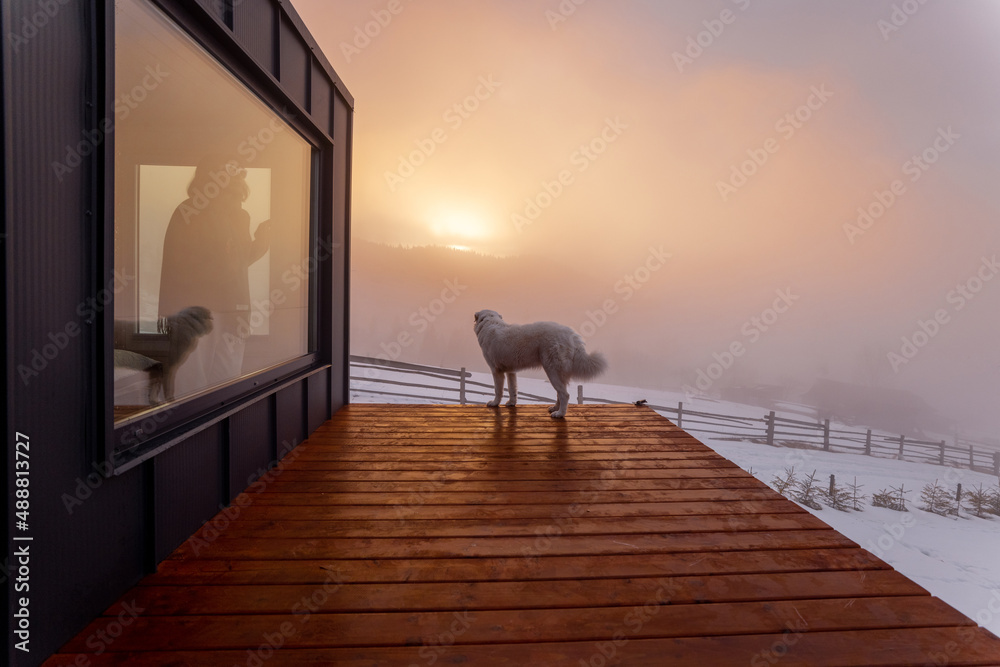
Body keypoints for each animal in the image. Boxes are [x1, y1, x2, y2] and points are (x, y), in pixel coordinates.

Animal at [472, 310, 604, 418]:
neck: (489, 321)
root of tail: (570, 334)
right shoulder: (511, 371)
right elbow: (512, 389)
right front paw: (511, 403)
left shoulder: (496, 371)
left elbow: (498, 390)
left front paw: (494, 403)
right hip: (557, 372)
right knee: (560, 393)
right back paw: (555, 408)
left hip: (552, 370)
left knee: (565, 394)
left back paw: (559, 414)